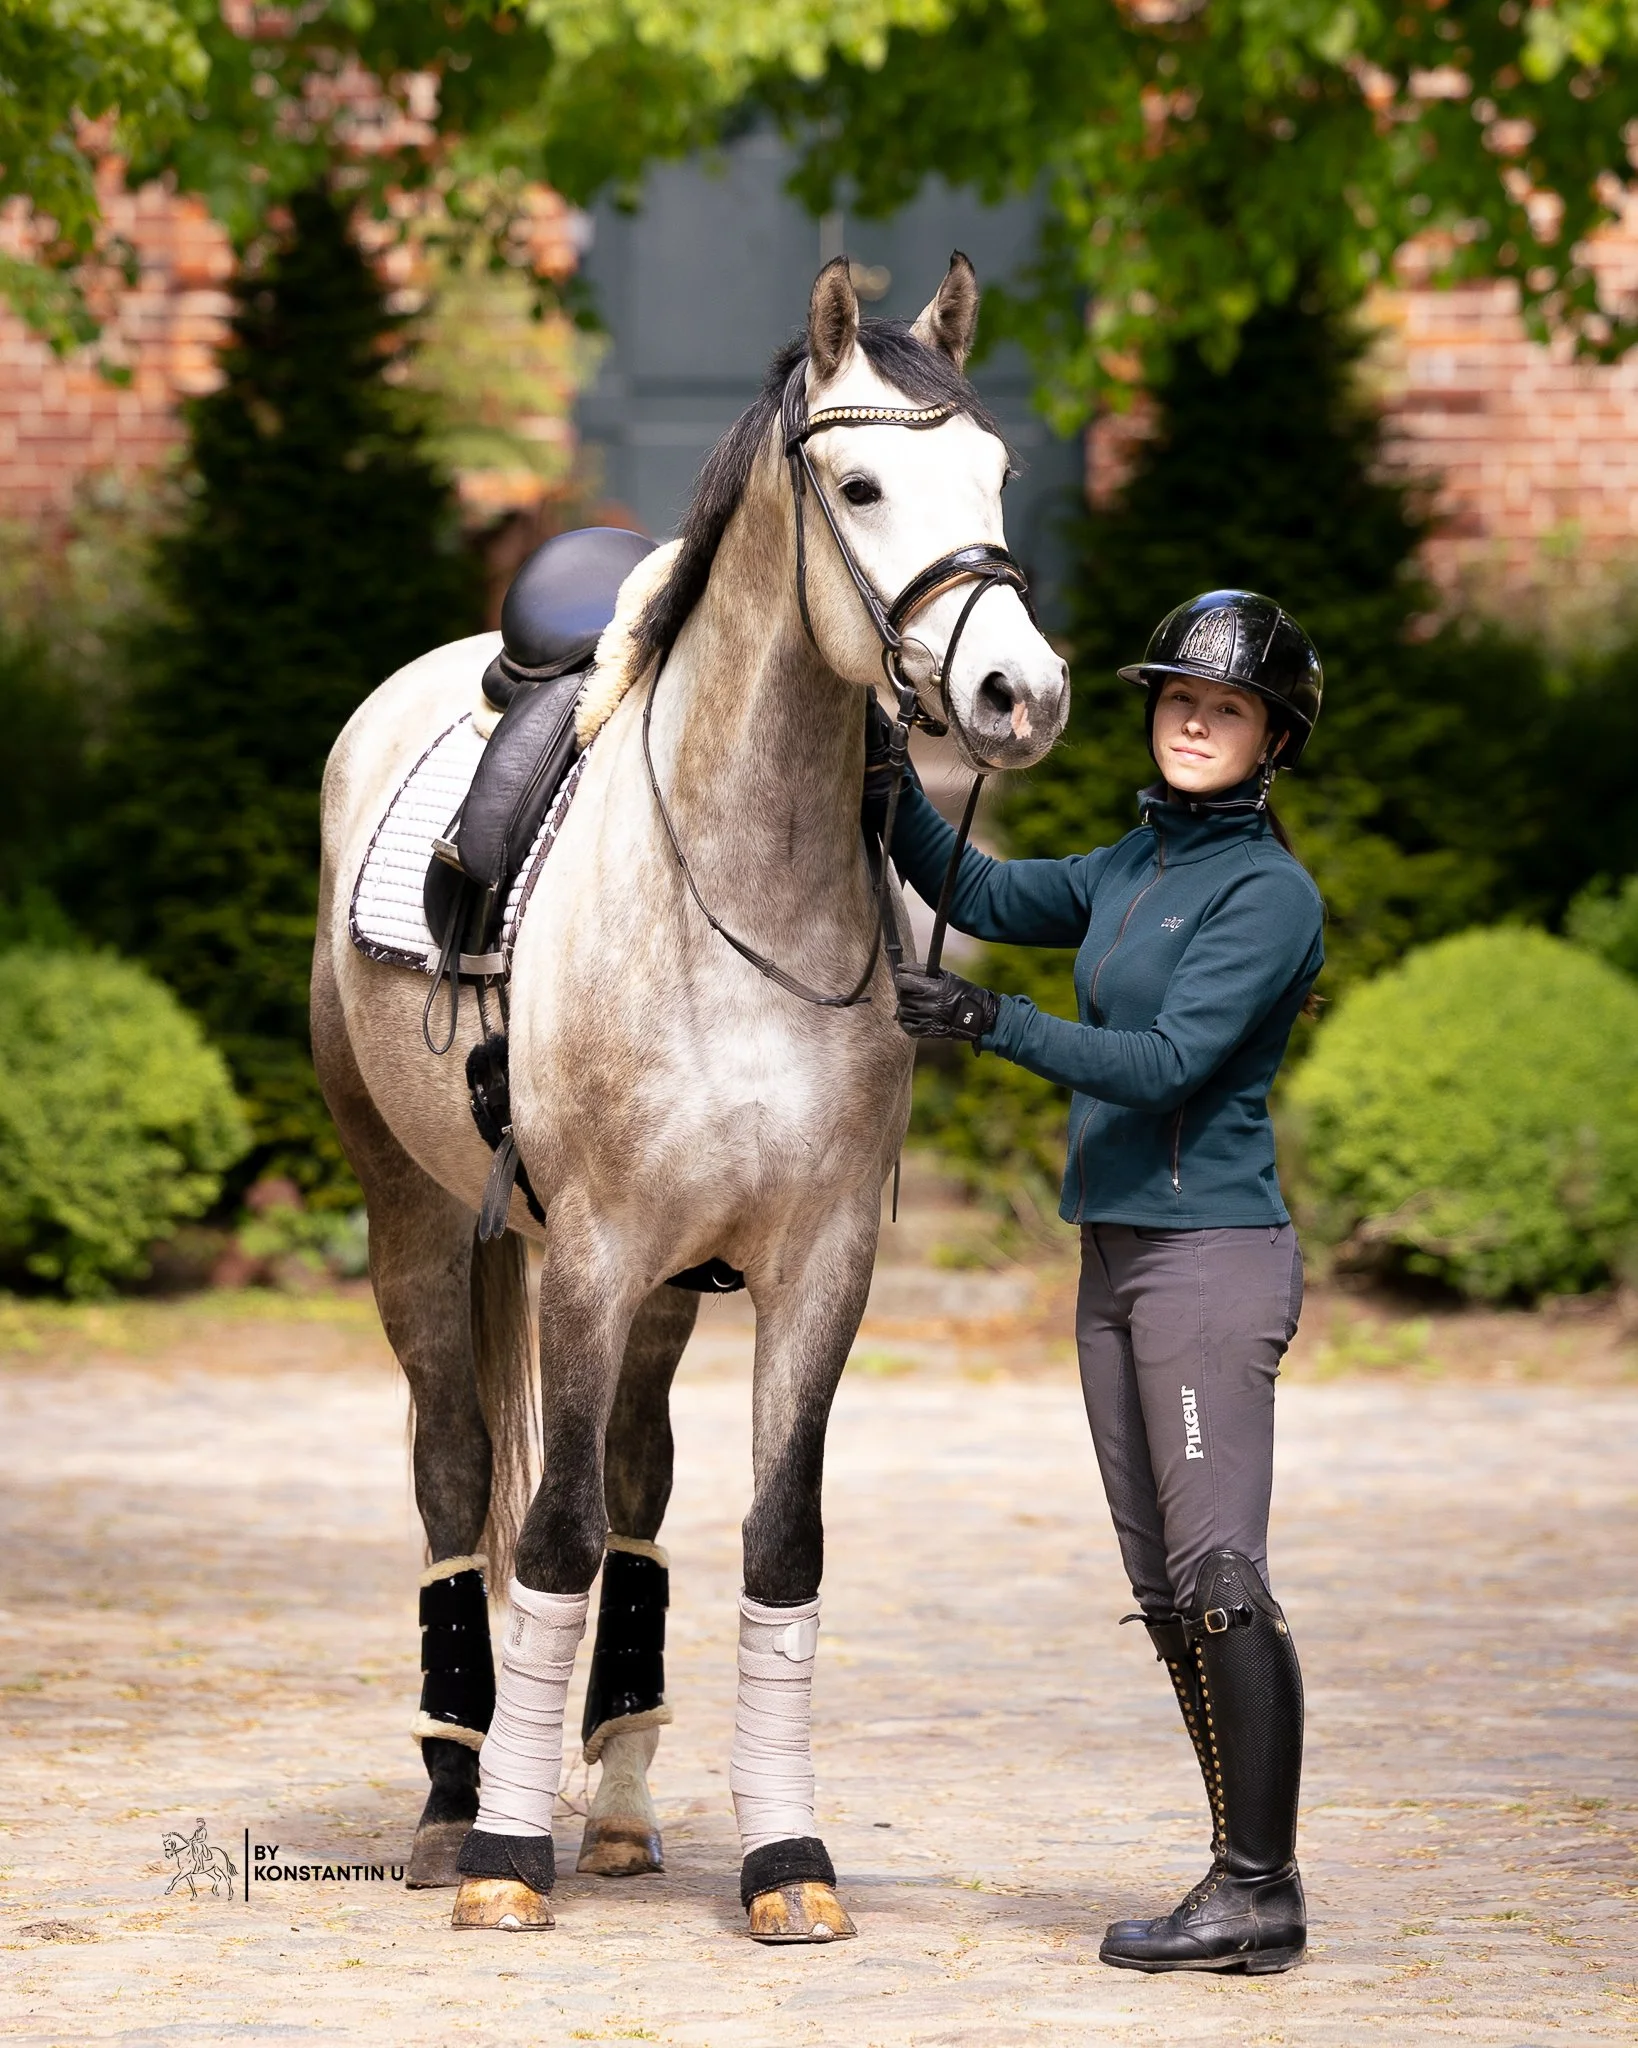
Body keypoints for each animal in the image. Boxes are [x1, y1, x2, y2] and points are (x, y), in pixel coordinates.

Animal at [310, 253, 1069, 1942]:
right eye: (859, 485)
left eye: (995, 471)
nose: (1020, 691)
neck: (739, 883)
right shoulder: (585, 1258)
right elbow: (548, 1533)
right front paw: (505, 1862)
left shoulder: (817, 1265)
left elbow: (772, 1542)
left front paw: (787, 1861)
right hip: (417, 1233)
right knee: (459, 1483)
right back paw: (459, 1803)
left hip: (661, 1291)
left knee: (639, 1492)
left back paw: (617, 1804)